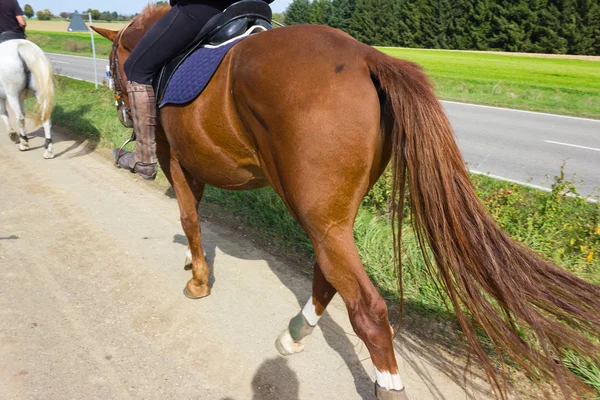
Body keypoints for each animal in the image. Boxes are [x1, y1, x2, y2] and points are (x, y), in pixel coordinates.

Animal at [91, 5, 596, 396]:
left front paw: (198, 280)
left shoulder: (175, 160)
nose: (120, 107)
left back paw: (386, 384)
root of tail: (365, 56)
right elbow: (194, 216)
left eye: (114, 65)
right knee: (328, 275)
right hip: (329, 216)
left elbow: (190, 218)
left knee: (367, 308)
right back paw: (295, 333)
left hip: (318, 216)